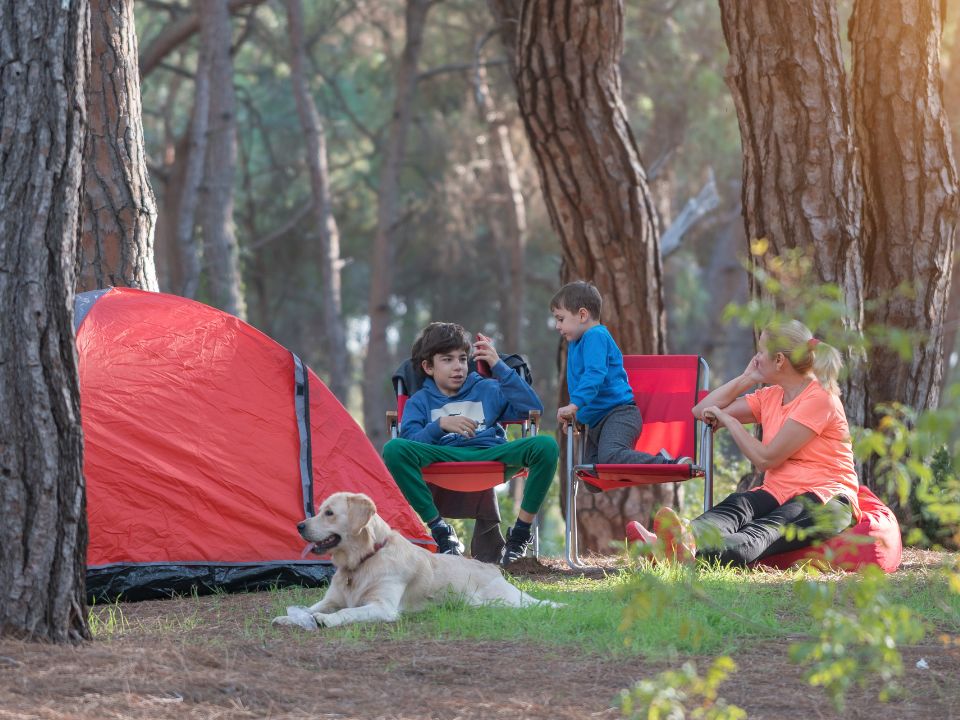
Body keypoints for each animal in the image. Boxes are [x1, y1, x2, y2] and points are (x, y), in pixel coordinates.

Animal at [274, 490, 560, 632]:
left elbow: (347, 612)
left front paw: (327, 620)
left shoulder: (382, 607)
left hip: (502, 601)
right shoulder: (330, 598)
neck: (363, 560)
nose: (299, 526)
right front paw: (289, 618)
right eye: (321, 510)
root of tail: (493, 568)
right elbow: (310, 607)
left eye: (330, 513)